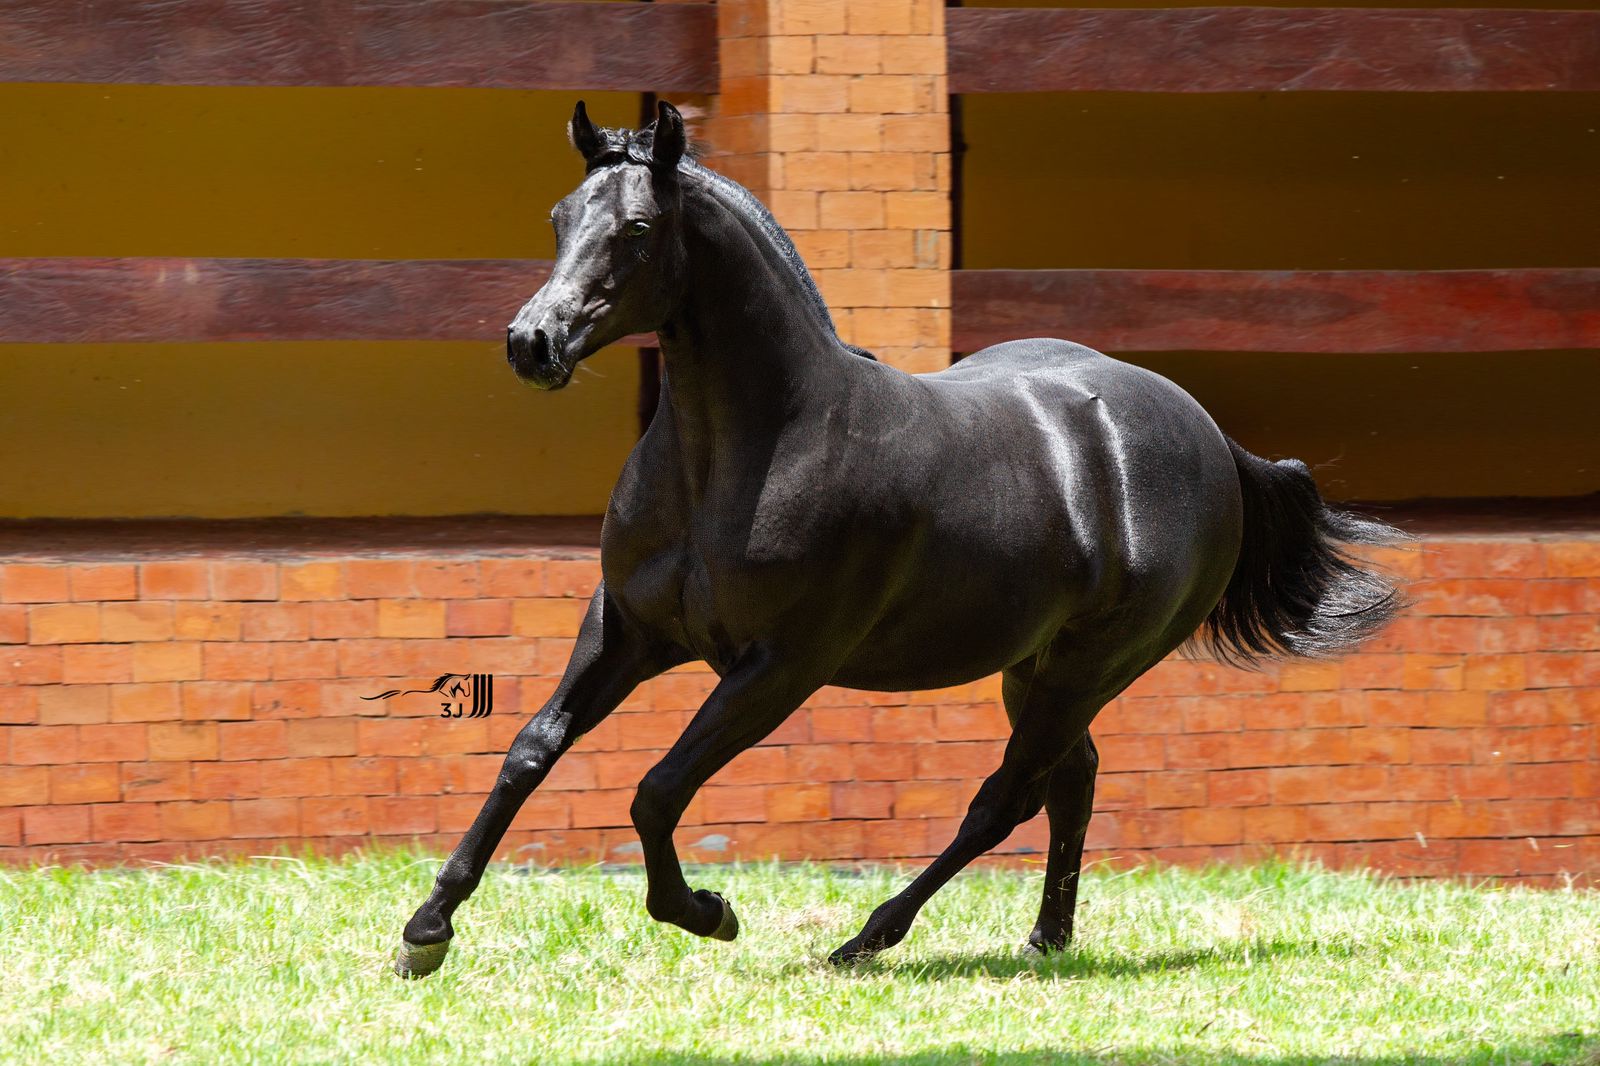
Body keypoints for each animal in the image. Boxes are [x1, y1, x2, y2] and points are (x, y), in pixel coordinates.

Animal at [393, 101, 1404, 978]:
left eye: (637, 229)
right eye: (561, 217)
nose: (533, 342)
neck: (748, 450)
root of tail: (1209, 436)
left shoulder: (780, 666)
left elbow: (658, 789)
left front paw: (709, 912)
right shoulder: (629, 632)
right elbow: (531, 748)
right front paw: (426, 930)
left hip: (1092, 667)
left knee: (1007, 797)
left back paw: (868, 938)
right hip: (1036, 667)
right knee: (1070, 779)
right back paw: (1045, 939)